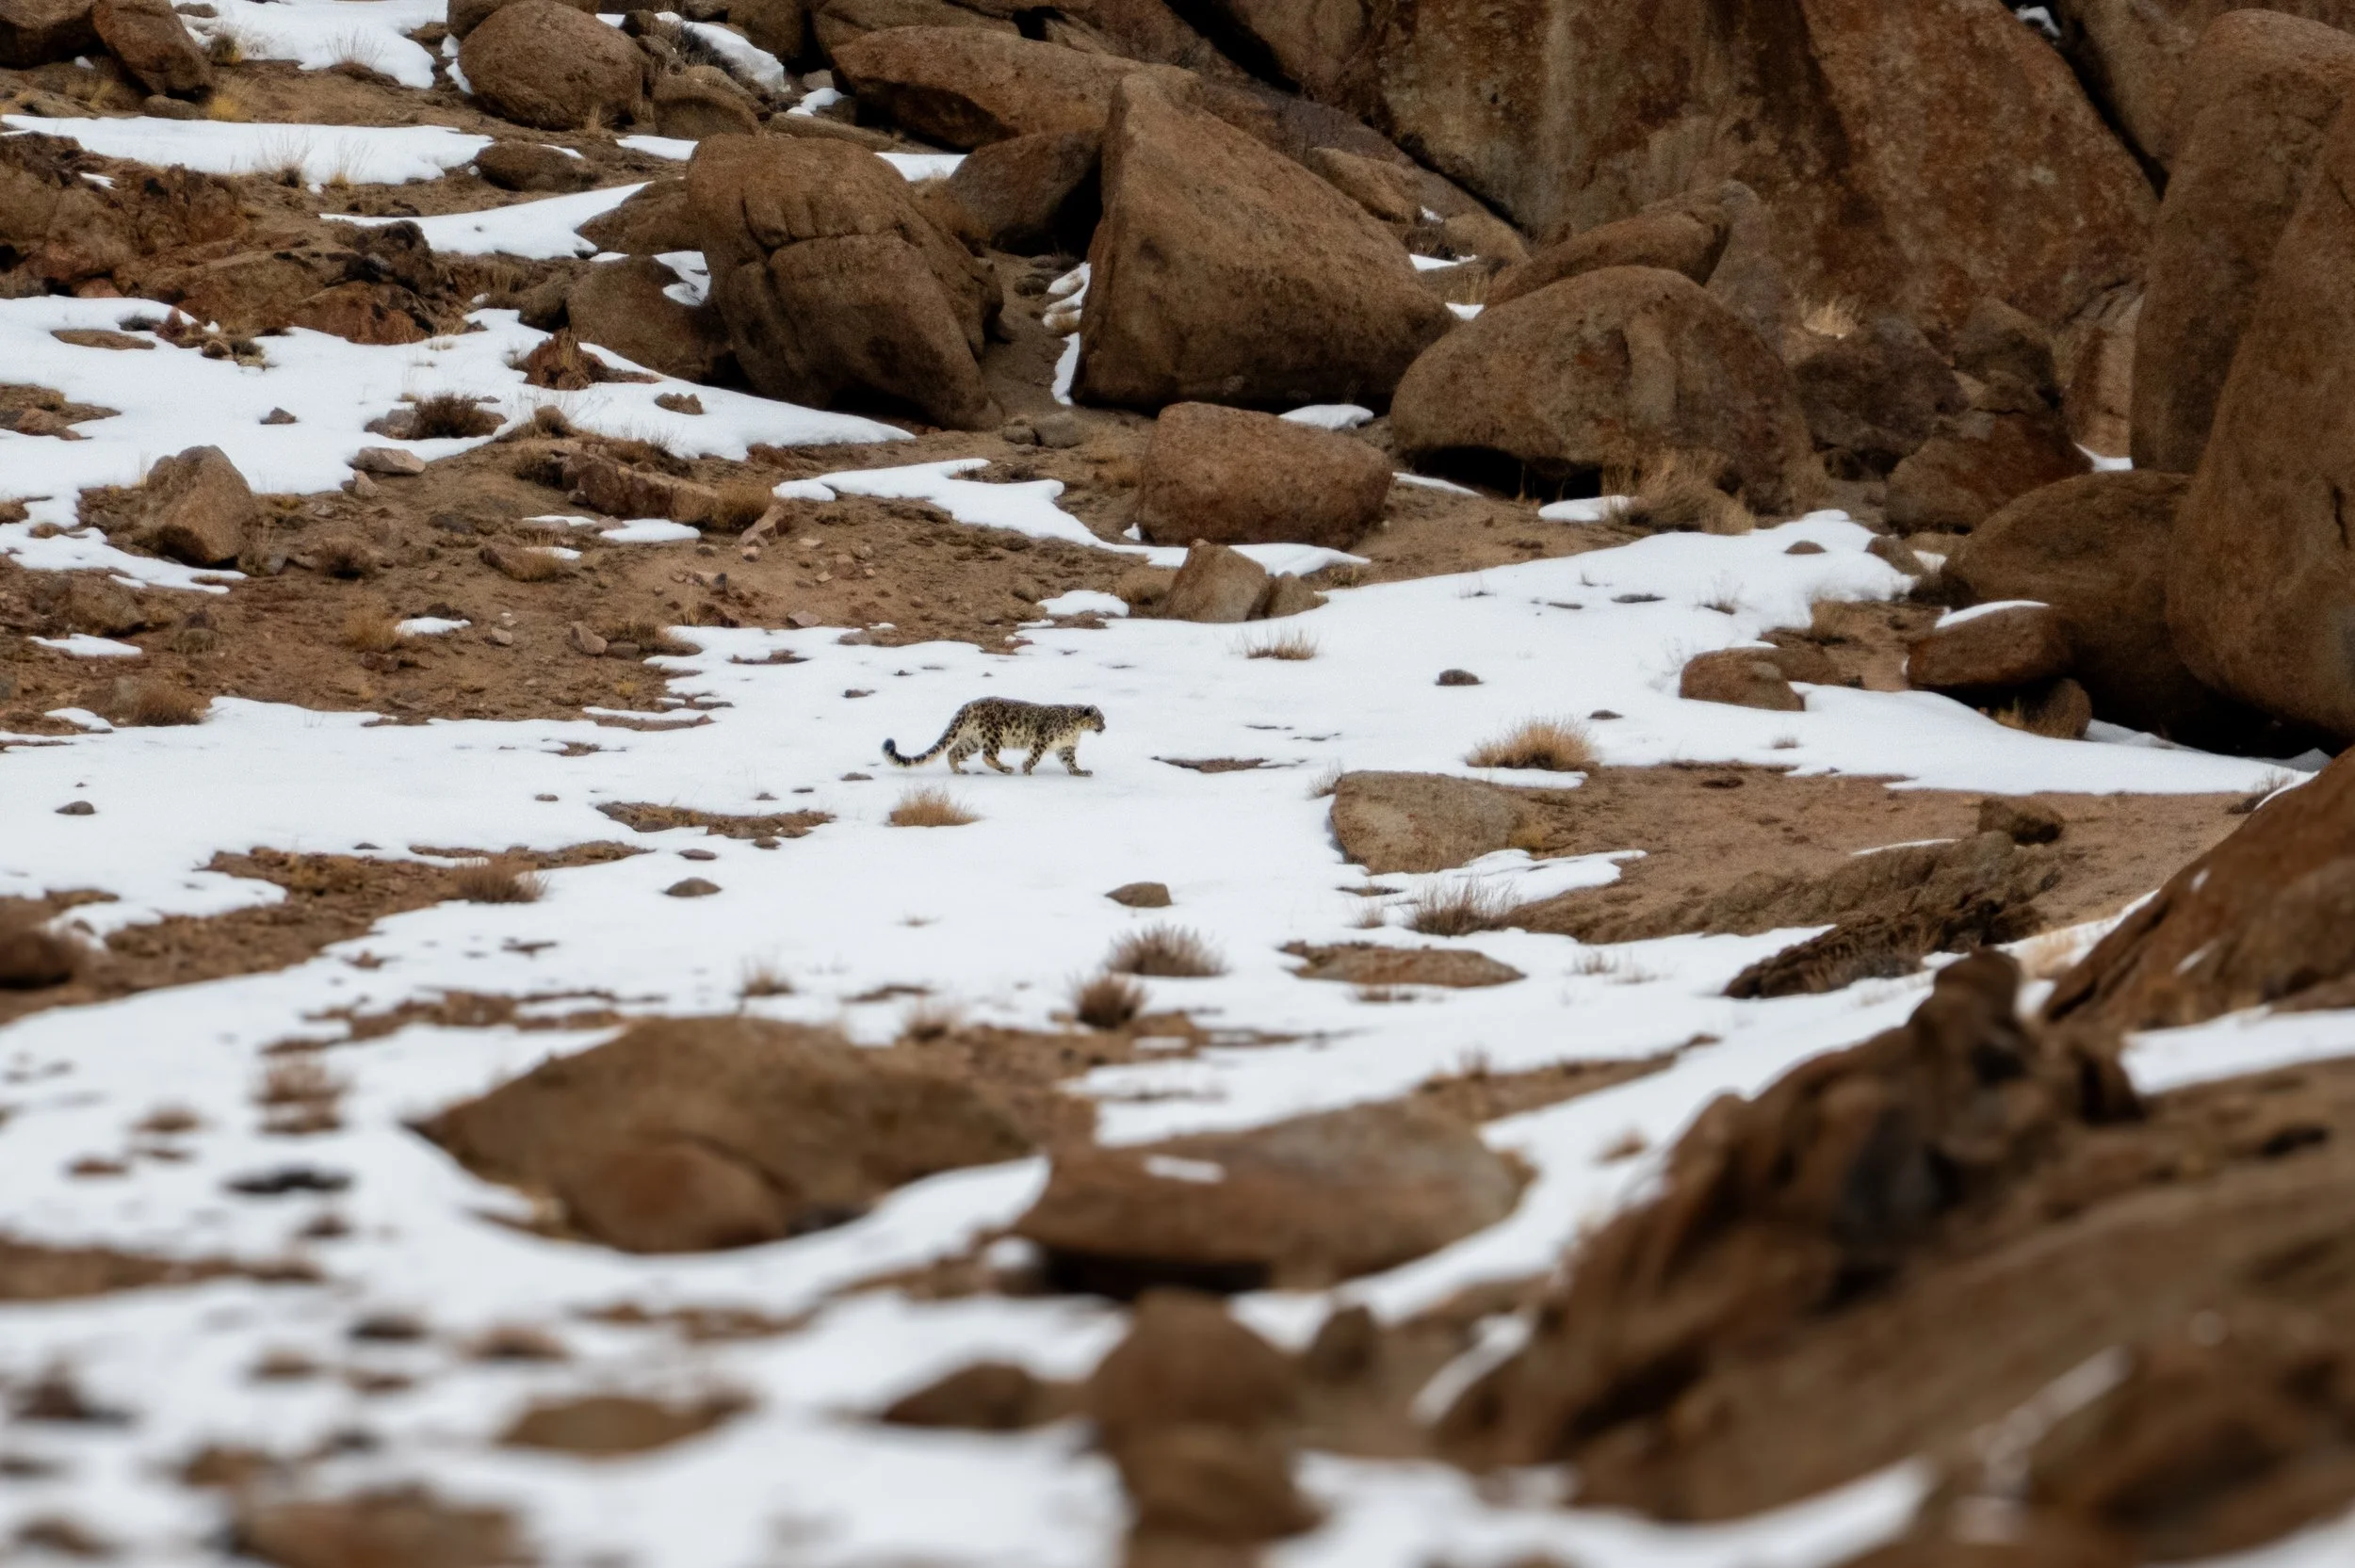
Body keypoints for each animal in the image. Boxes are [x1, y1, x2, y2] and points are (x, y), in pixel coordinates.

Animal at [883, 699, 1107, 776]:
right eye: (1100, 718)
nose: (1104, 727)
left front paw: (1080, 772)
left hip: (972, 740)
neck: (1076, 729)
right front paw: (1027, 769)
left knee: (953, 752)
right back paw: (1006, 768)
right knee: (987, 755)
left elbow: (1070, 761)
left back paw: (959, 770)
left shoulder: (1066, 747)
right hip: (993, 734)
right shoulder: (1042, 740)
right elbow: (1034, 756)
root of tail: (967, 706)